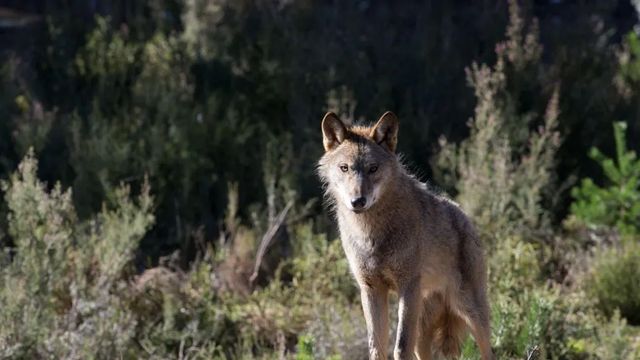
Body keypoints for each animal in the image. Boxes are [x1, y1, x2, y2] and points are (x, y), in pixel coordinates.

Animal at [318, 111, 492, 358]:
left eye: (373, 168)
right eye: (344, 168)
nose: (358, 201)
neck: (371, 234)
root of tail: (465, 216)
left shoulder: (407, 287)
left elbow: (400, 346)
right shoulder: (371, 289)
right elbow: (376, 347)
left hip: (470, 311)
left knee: (489, 349)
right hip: (424, 329)